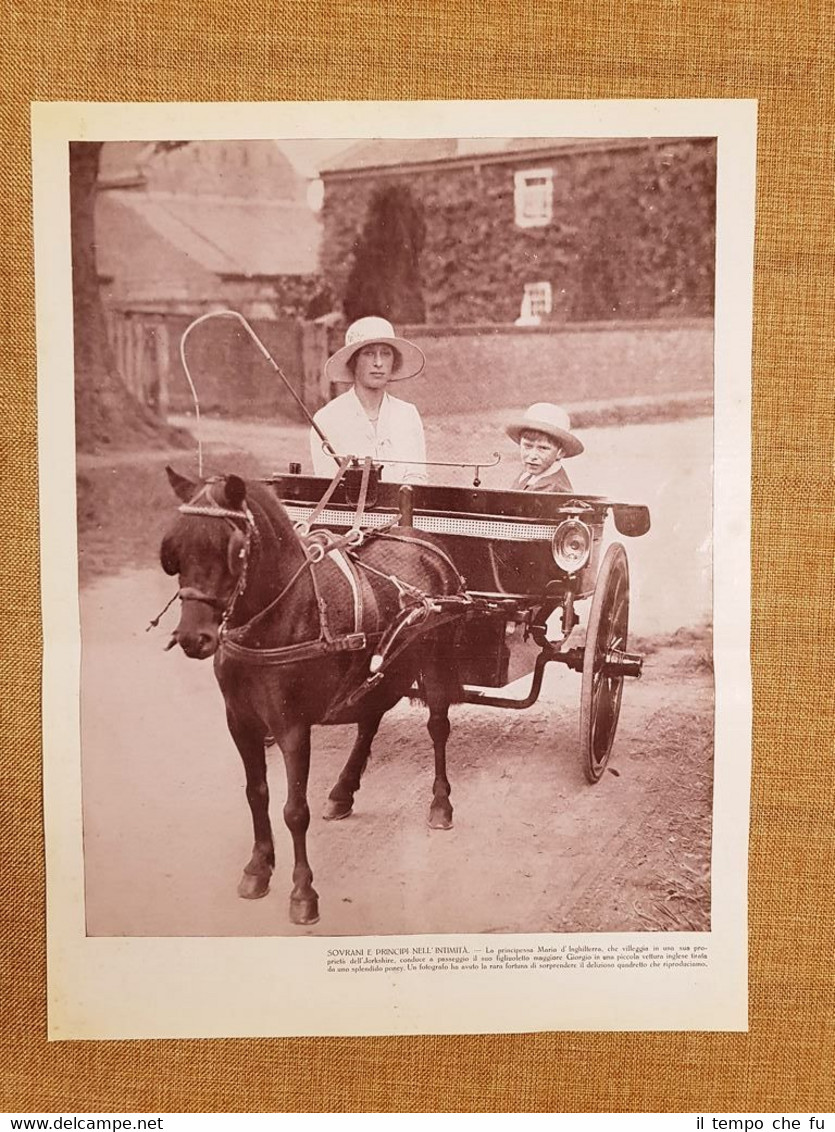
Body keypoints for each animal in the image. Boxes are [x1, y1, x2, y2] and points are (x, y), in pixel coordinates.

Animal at [159, 464, 466, 923]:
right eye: (174, 549)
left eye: (233, 551)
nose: (194, 638)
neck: (277, 615)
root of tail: (420, 536)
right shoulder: (240, 722)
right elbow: (256, 795)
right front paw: (258, 868)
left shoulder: (292, 727)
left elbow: (294, 810)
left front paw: (303, 892)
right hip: (383, 669)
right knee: (370, 718)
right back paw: (343, 792)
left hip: (436, 661)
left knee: (438, 728)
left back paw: (441, 804)